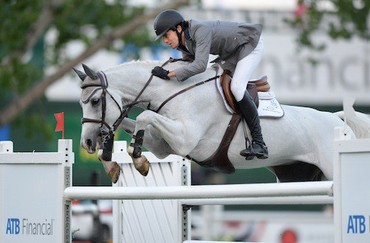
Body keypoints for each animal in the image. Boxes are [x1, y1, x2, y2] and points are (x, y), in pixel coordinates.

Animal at [74, 59, 370, 183]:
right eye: (81, 103)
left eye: (95, 101)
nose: (87, 142)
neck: (173, 90)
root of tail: (334, 118)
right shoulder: (165, 146)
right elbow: (136, 123)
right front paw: (113, 161)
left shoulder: (184, 139)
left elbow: (144, 117)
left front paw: (137, 160)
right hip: (297, 177)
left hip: (331, 168)